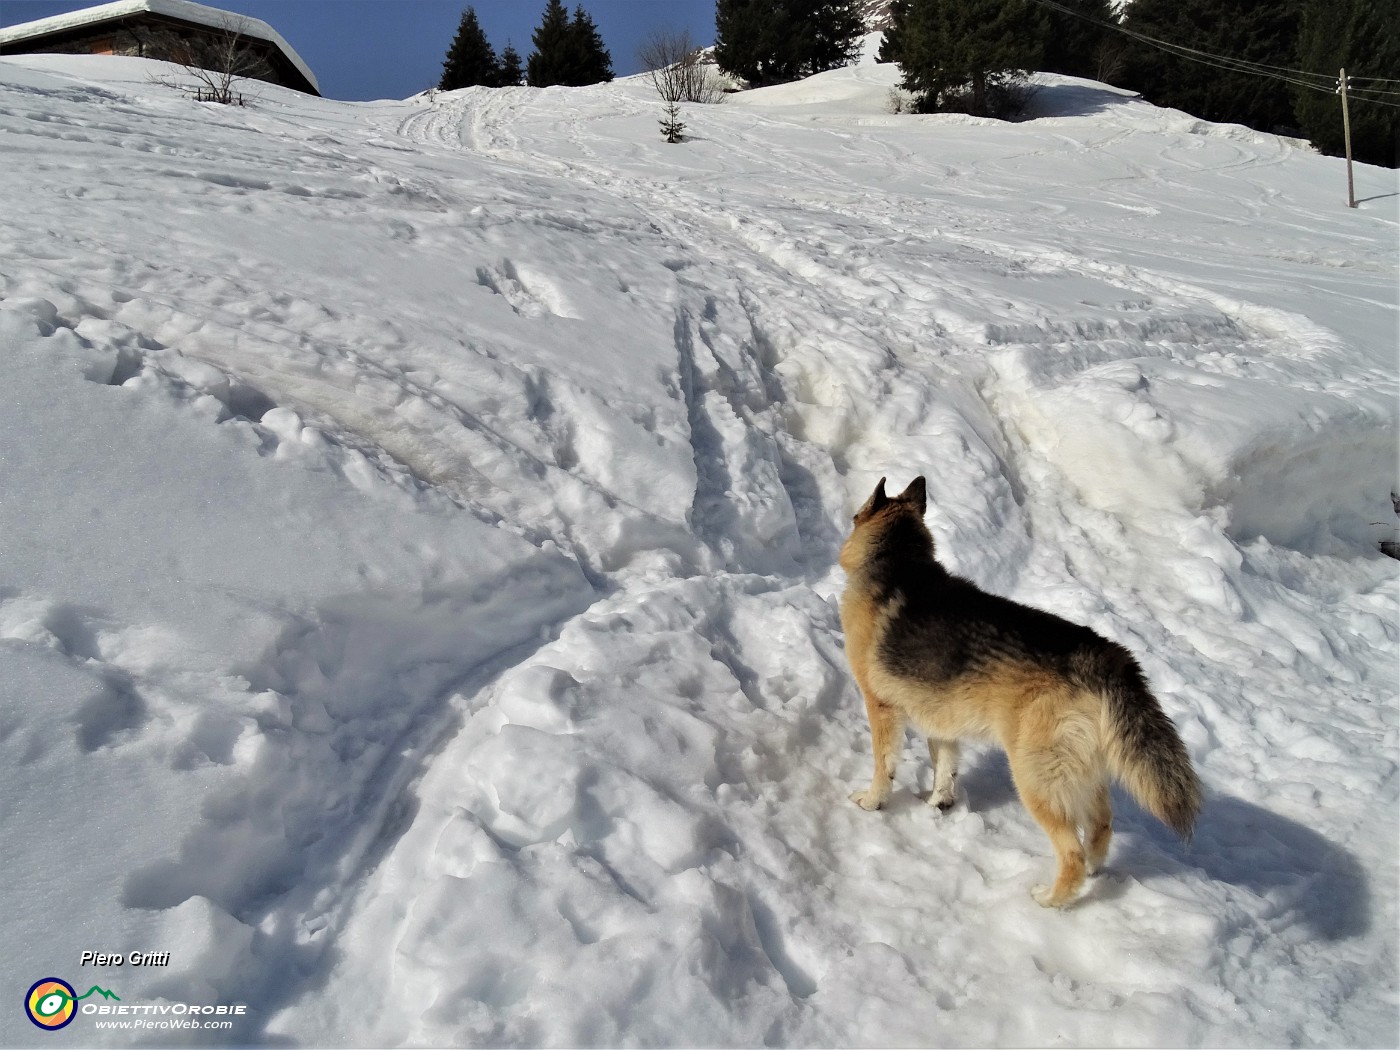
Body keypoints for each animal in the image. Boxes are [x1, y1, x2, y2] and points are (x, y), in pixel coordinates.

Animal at [834, 481, 1198, 907]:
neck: (898, 561)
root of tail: (1103, 655)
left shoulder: (882, 707)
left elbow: (884, 767)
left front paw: (872, 802)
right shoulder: (941, 719)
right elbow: (945, 768)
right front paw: (939, 805)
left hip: (1034, 778)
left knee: (1071, 852)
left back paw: (1051, 899)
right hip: (1081, 773)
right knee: (1101, 827)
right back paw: (1093, 873)